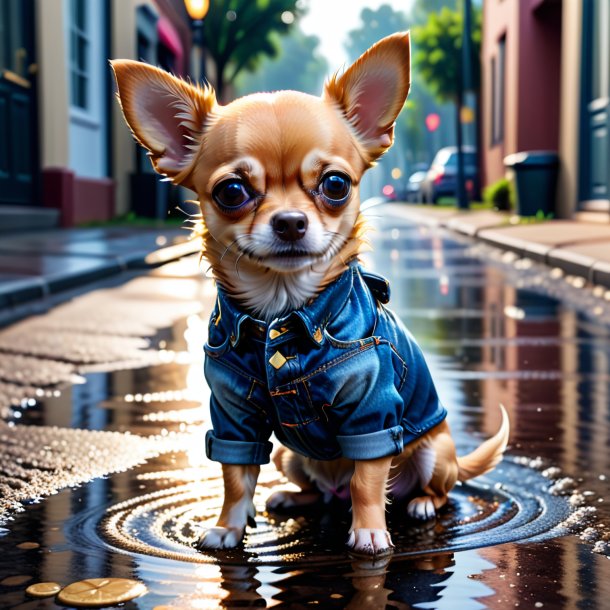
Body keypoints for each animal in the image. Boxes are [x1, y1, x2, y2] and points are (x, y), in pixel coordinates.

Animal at [110, 32, 508, 556]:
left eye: (335, 185)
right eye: (231, 191)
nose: (290, 221)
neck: (283, 311)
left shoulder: (372, 412)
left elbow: (367, 479)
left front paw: (369, 532)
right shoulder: (233, 413)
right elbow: (235, 475)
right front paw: (227, 527)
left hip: (434, 451)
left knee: (429, 489)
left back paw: (420, 503)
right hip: (289, 456)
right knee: (321, 492)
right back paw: (291, 499)